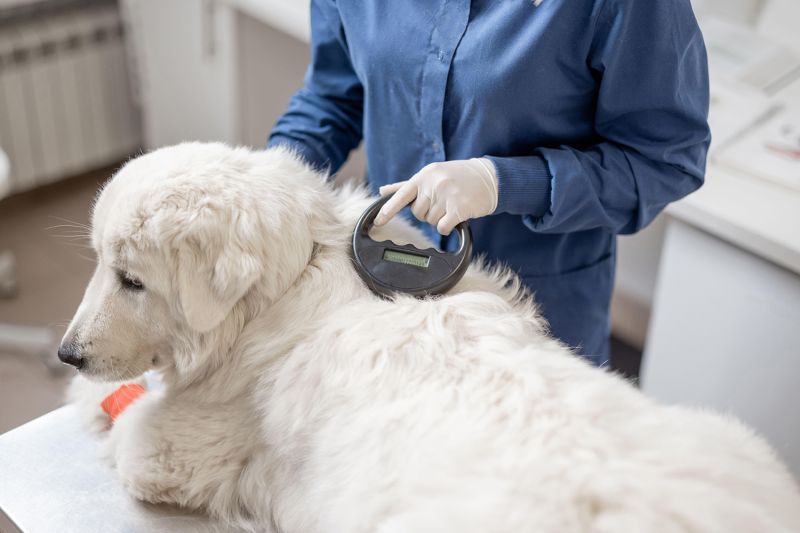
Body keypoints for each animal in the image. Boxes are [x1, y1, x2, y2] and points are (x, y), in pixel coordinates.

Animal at [64, 141, 800, 532]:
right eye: (98, 262)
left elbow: (132, 418)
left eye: (131, 280)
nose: (67, 352)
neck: (296, 273)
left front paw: (89, 393)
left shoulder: (174, 450)